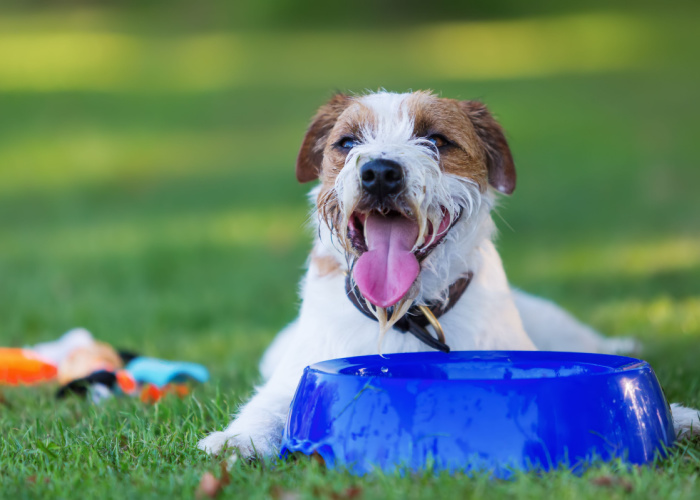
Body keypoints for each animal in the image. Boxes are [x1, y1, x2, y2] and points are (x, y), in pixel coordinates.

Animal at [198, 89, 700, 458]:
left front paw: (679, 416)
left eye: (437, 140)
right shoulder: (295, 374)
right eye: (347, 143)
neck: (406, 314)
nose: (380, 172)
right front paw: (235, 439)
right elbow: (269, 406)